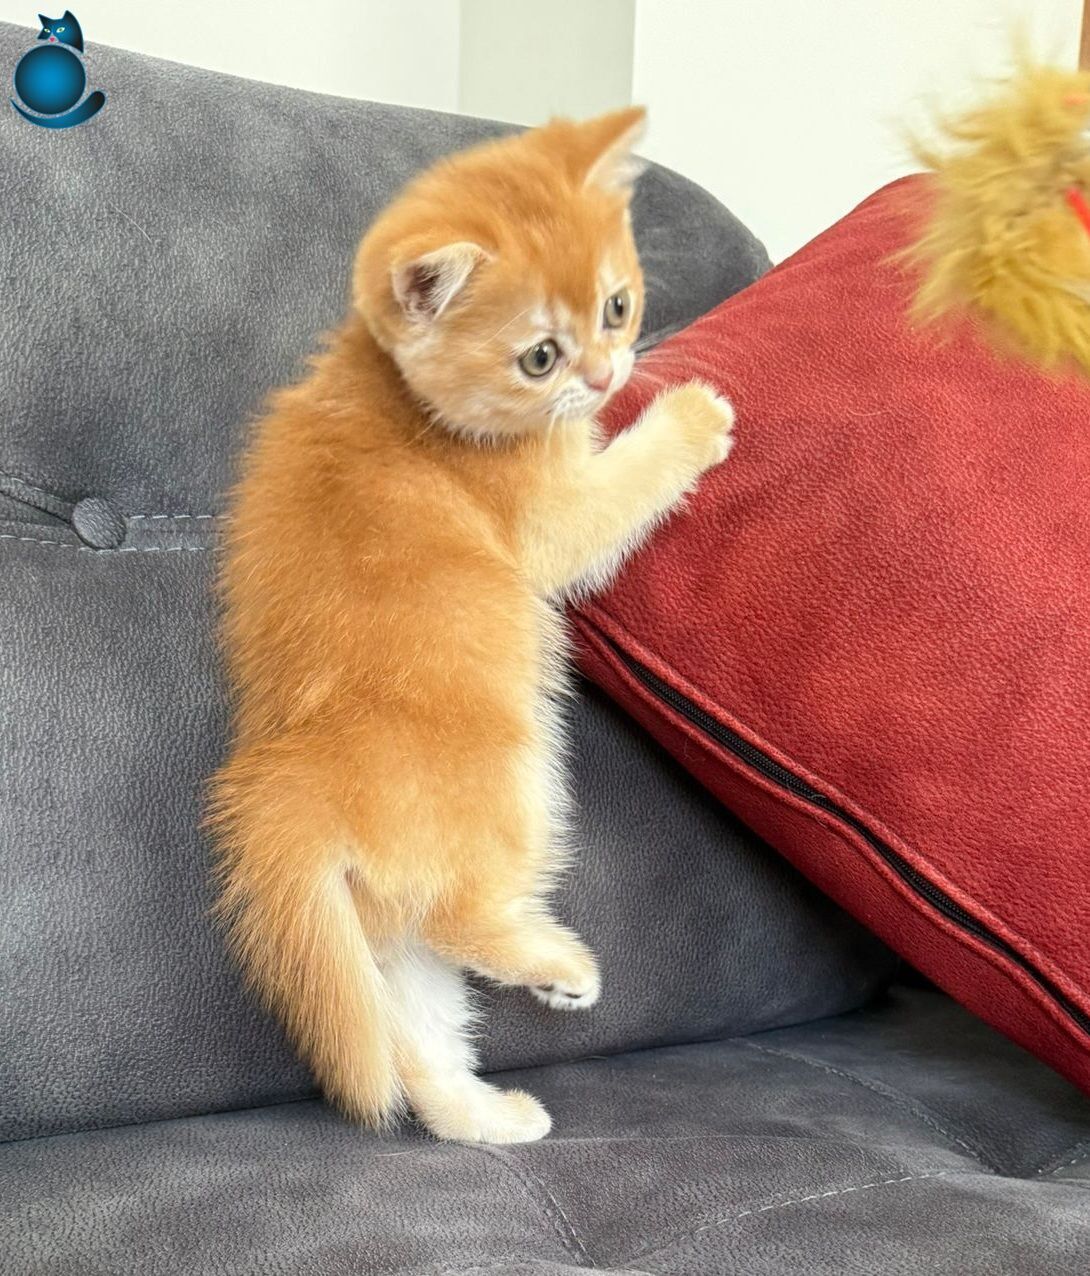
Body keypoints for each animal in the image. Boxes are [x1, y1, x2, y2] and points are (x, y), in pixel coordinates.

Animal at [207, 107, 734, 1144]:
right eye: (540, 355)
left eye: (617, 306)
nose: (607, 373)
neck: (399, 392)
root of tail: (291, 784)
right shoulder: (553, 514)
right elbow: (617, 490)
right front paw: (695, 415)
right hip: (511, 784)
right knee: (464, 920)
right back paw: (563, 967)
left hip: (391, 931)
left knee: (417, 1032)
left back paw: (488, 1115)